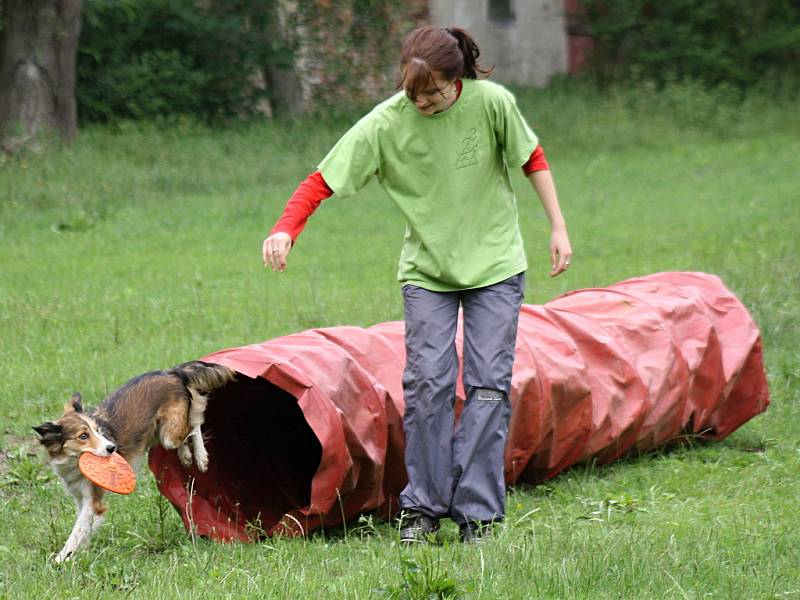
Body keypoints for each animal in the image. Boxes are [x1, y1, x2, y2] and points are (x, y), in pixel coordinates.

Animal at [34, 360, 234, 564]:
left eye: (97, 430)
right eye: (83, 436)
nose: (112, 448)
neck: (73, 463)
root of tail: (171, 372)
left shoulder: (93, 504)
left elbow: (76, 532)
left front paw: (60, 559)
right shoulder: (81, 499)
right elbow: (83, 531)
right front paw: (77, 554)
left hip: (169, 433)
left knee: (195, 423)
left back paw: (201, 457)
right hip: (163, 434)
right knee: (189, 429)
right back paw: (186, 455)